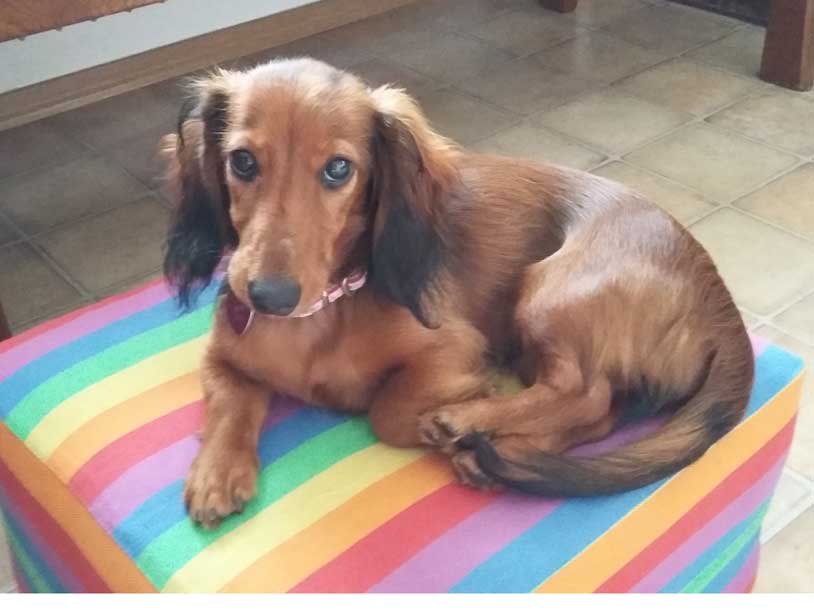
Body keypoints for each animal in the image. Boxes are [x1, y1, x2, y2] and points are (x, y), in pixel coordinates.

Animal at [161, 57, 754, 528]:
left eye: (337, 169)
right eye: (242, 161)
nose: (267, 297)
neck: (320, 317)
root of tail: (716, 292)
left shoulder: (452, 346)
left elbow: (387, 411)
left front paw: (459, 407)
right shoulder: (220, 355)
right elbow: (231, 400)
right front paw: (216, 472)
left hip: (549, 291)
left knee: (583, 392)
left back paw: (467, 425)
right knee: (602, 413)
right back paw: (505, 453)